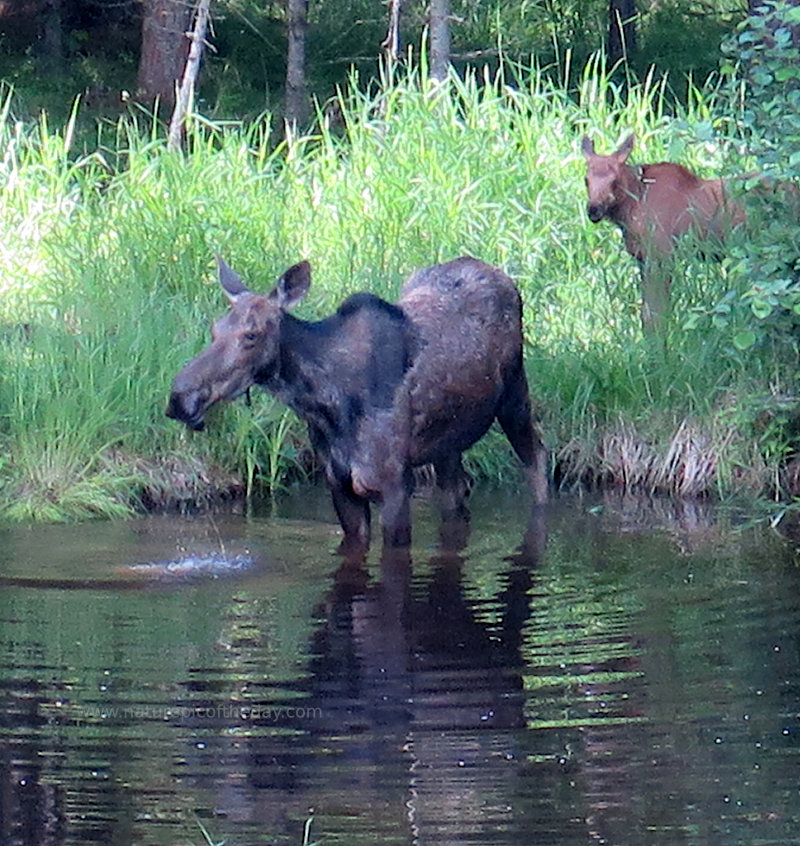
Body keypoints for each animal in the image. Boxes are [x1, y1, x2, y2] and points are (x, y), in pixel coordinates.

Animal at [166, 255, 548, 552]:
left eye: (251, 335)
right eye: (215, 329)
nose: (179, 399)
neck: (322, 405)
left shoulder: (394, 485)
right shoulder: (339, 485)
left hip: (515, 396)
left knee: (537, 458)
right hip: (447, 442)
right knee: (457, 490)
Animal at [580, 134, 744, 332]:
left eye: (614, 181)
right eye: (586, 180)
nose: (594, 210)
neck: (631, 207)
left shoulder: (661, 256)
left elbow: (656, 314)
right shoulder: (643, 259)